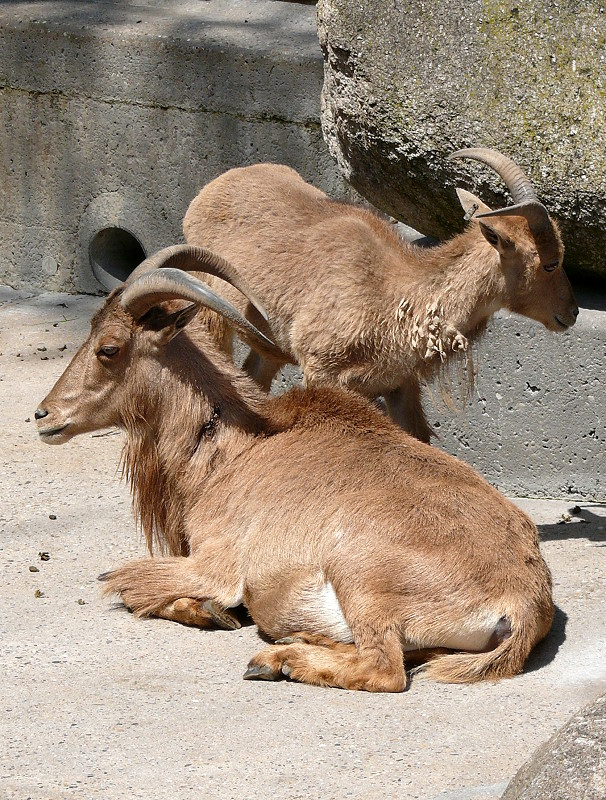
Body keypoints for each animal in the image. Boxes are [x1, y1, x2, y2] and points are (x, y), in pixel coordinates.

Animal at [34, 247, 556, 692]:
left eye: (109, 348)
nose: (44, 416)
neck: (233, 449)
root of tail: (523, 599)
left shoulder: (212, 563)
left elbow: (125, 586)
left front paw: (211, 612)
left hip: (361, 574)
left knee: (384, 667)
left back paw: (277, 660)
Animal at [182, 147, 580, 440]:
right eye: (550, 263)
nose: (572, 312)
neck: (394, 295)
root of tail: (205, 193)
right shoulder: (322, 371)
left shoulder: (400, 386)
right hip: (211, 312)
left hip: (270, 347)